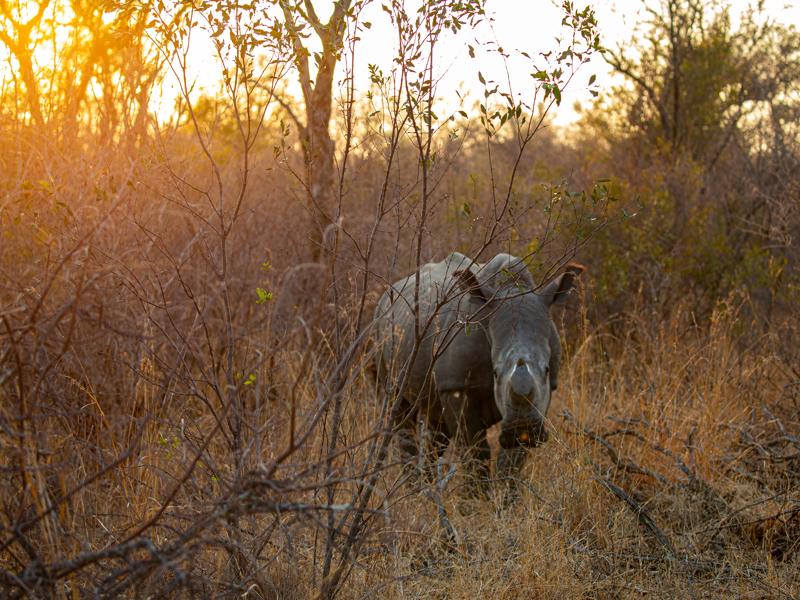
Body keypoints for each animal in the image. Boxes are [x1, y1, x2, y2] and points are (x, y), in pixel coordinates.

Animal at [372, 252, 584, 482]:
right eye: (495, 373)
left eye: (546, 370)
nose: (522, 426)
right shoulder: (456, 387)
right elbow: (476, 454)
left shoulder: (544, 394)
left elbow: (512, 461)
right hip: (380, 326)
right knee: (401, 411)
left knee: (436, 431)